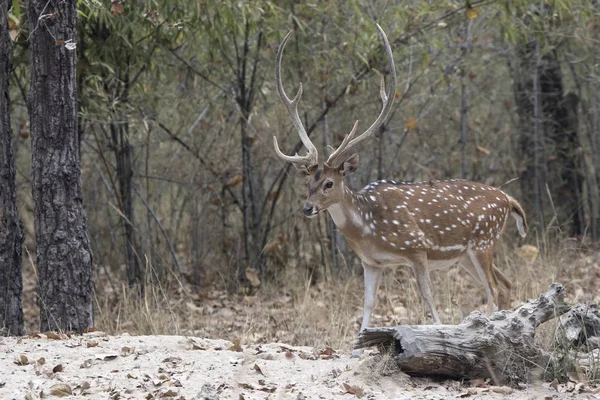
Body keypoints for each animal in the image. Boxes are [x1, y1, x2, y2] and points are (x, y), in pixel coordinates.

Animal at [272, 25, 524, 340]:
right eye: (309, 181)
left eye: (329, 183)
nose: (307, 208)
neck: (368, 228)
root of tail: (509, 200)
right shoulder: (370, 262)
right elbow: (367, 305)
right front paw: (358, 344)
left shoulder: (416, 247)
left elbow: (428, 299)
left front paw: (438, 332)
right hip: (467, 254)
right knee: (506, 283)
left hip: (483, 241)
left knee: (493, 288)